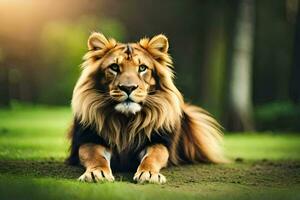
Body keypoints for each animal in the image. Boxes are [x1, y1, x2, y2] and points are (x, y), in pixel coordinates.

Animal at [67, 32, 226, 184]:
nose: (128, 87)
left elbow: (153, 157)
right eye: (114, 67)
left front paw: (149, 174)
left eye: (142, 68)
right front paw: (96, 173)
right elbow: (95, 156)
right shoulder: (89, 139)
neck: (125, 122)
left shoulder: (158, 142)